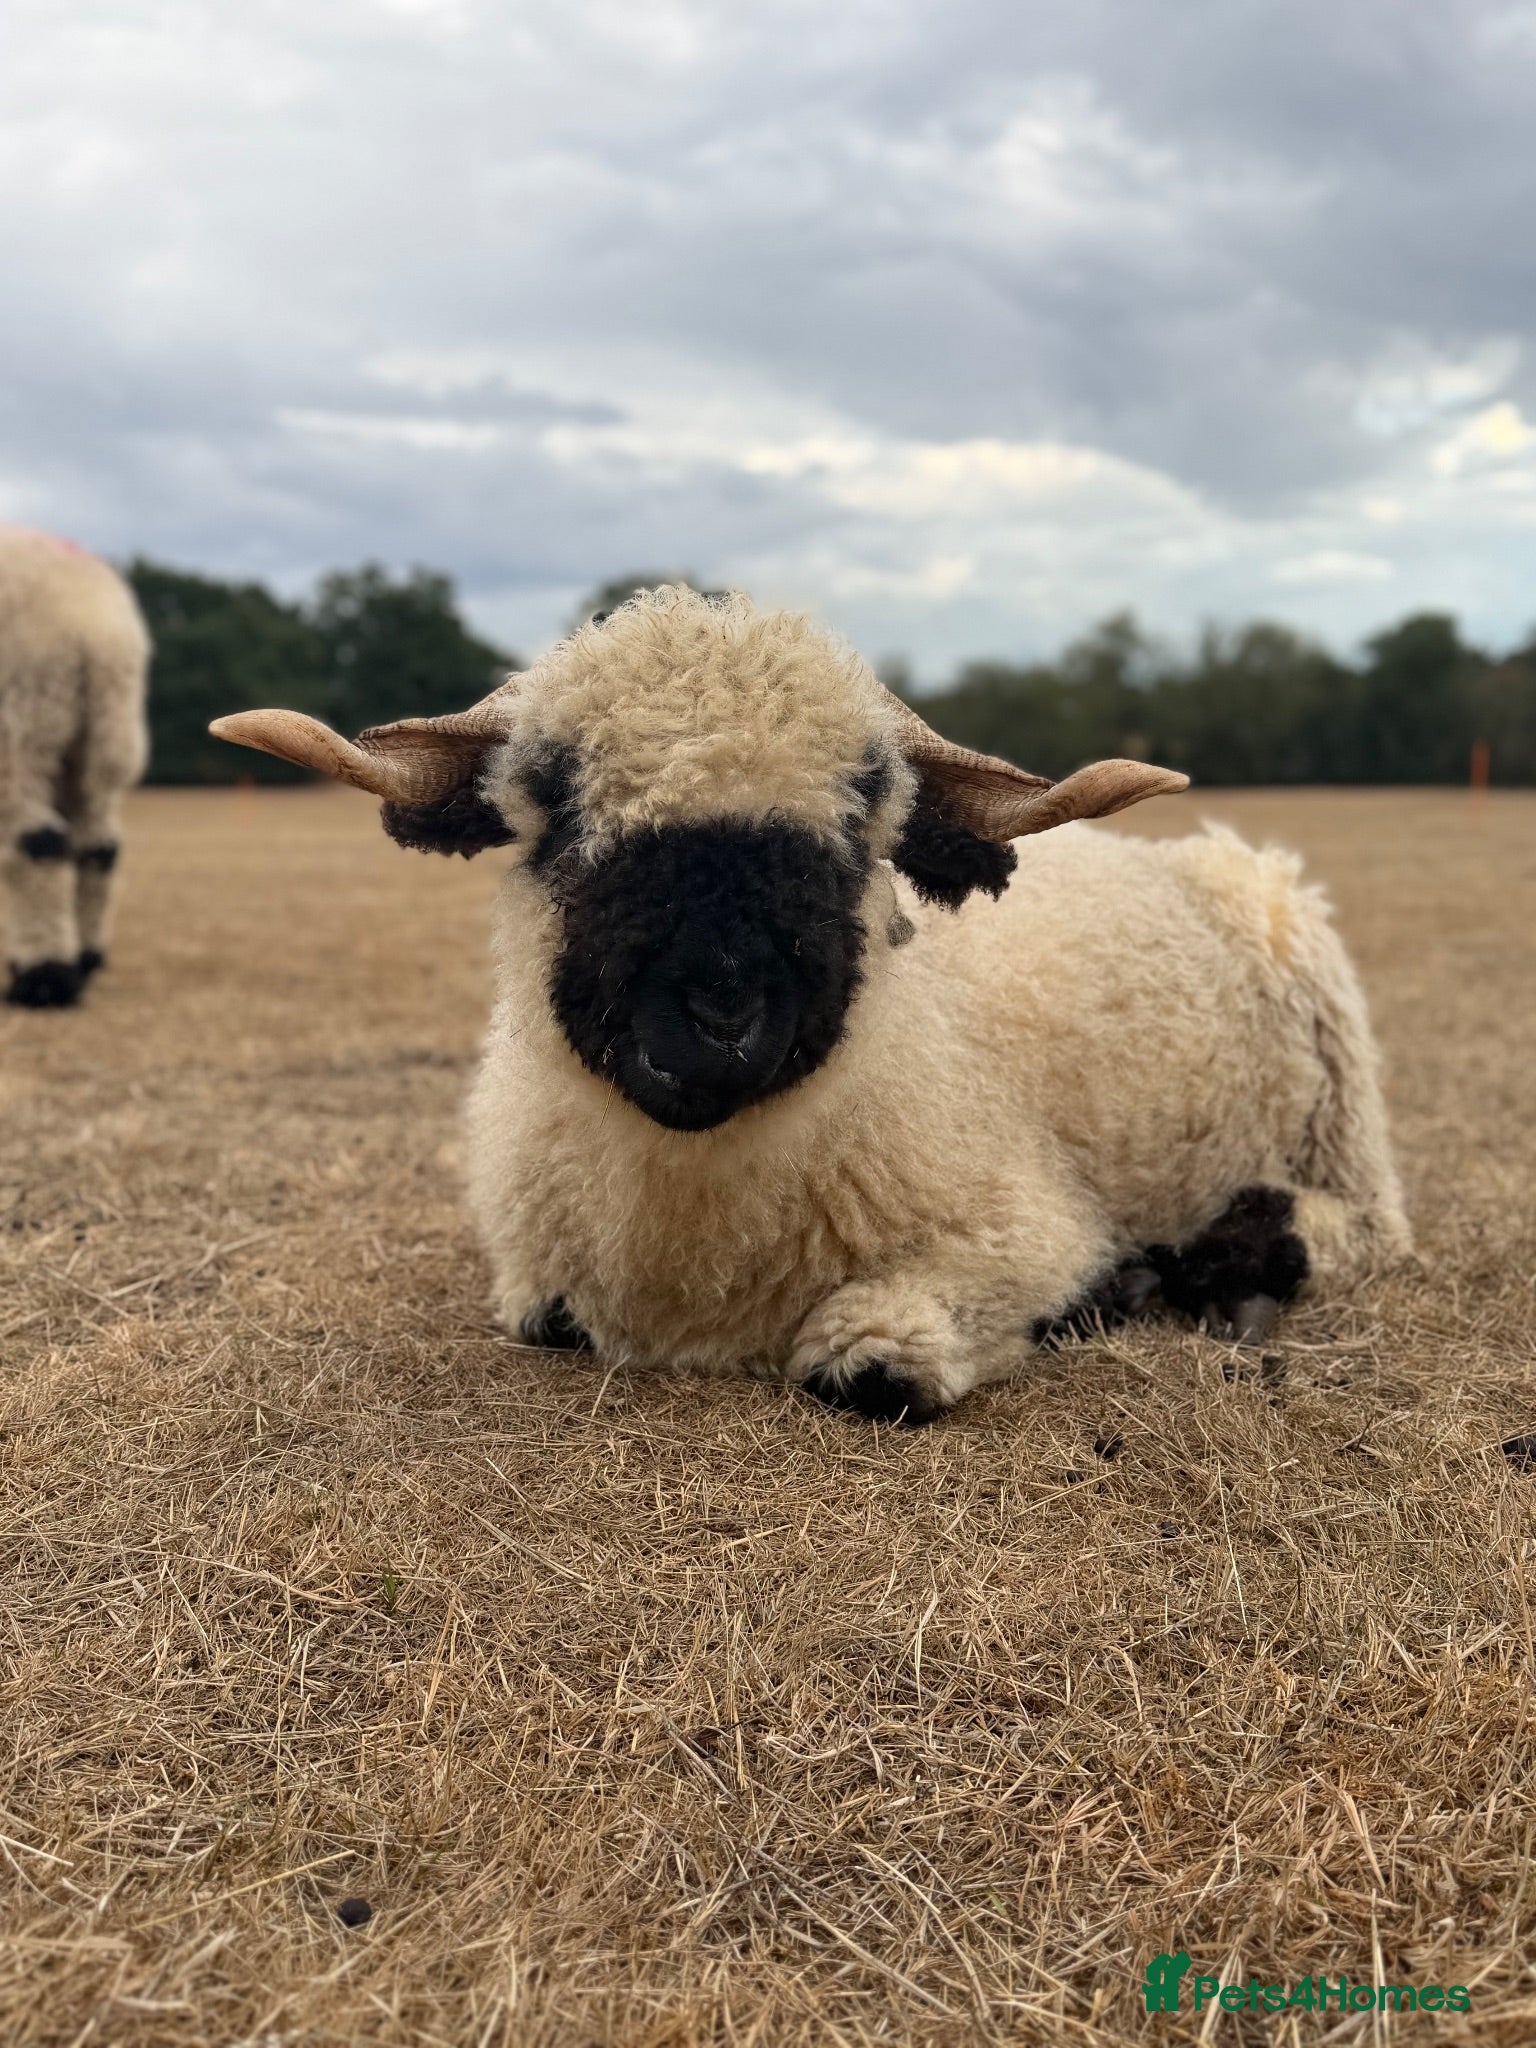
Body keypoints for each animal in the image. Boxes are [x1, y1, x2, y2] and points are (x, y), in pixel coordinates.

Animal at [1, 528, 150, 1008]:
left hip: (24, 729)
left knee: (37, 845)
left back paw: (44, 980)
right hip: (95, 742)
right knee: (98, 846)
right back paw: (82, 960)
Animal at [212, 585, 1411, 1424]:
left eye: (868, 808)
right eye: (551, 796)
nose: (720, 1015)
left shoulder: (1027, 1219)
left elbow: (877, 1365)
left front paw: (1084, 1294)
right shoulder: (537, 1274)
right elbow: (546, 1316)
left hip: (1338, 1104)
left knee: (1368, 1230)